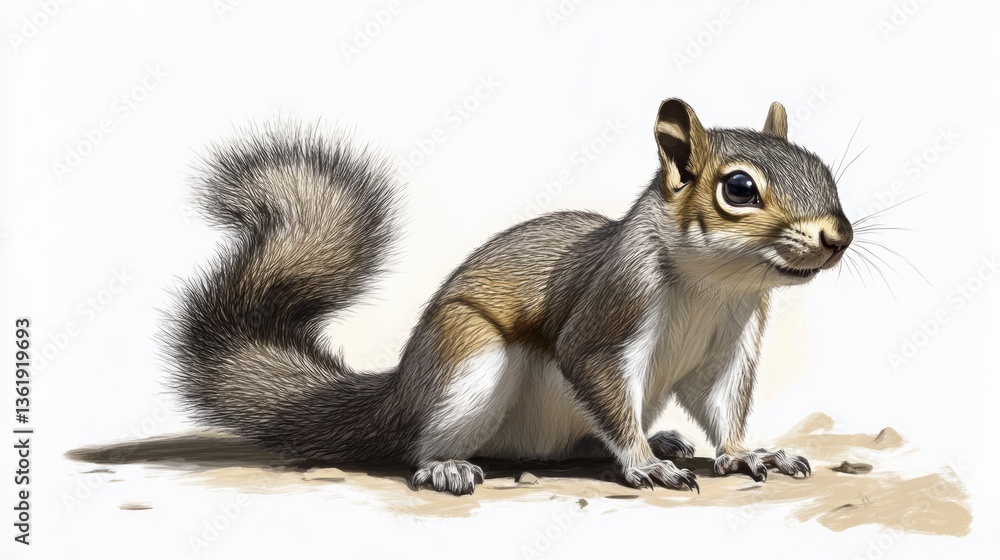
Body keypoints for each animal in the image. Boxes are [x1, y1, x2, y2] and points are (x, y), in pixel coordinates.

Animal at [164, 98, 852, 496]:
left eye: (824, 170)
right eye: (739, 188)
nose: (838, 237)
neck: (715, 285)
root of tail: (399, 393)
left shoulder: (732, 341)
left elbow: (719, 401)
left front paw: (746, 453)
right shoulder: (613, 302)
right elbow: (590, 362)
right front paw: (643, 464)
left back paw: (656, 440)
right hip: (467, 358)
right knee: (421, 445)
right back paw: (446, 466)